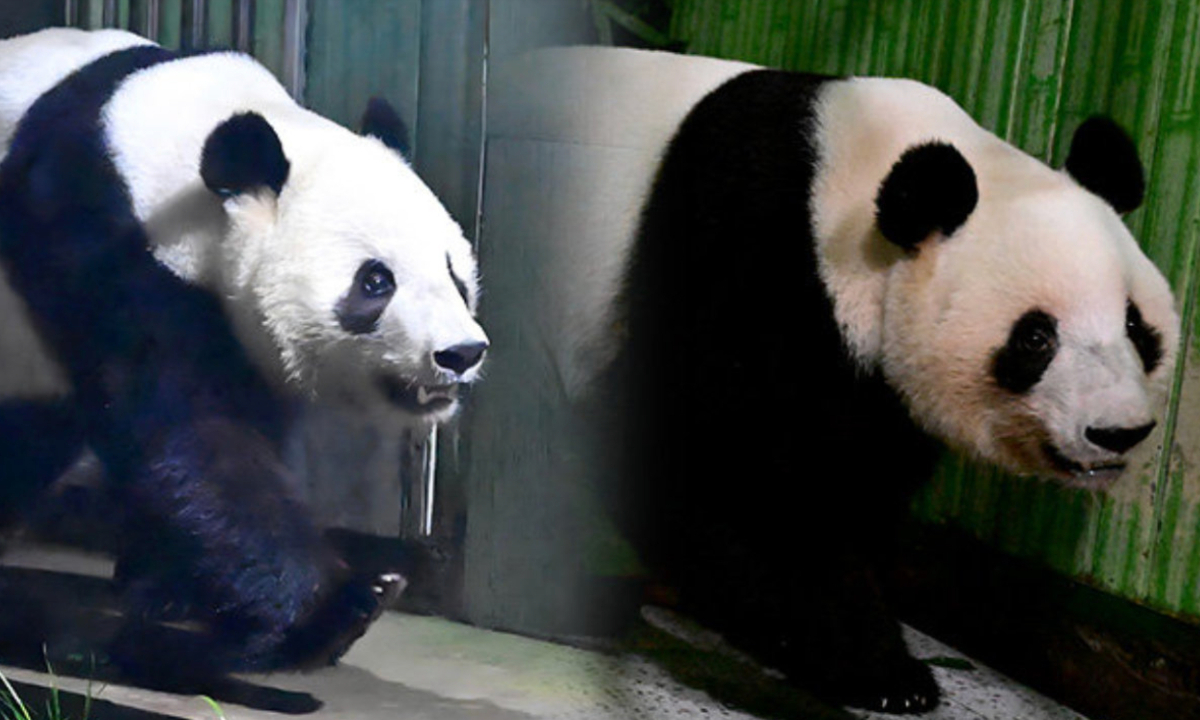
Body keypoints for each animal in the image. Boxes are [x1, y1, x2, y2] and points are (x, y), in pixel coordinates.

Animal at [0, 28, 487, 687]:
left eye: (455, 274)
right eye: (375, 281)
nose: (460, 353)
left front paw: (174, 587)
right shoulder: (92, 239)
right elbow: (196, 436)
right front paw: (337, 609)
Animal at [581, 53, 1181, 713]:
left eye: (1136, 324)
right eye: (1034, 338)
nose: (1118, 432)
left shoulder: (876, 391)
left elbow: (861, 478)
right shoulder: (742, 253)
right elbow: (721, 470)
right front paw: (871, 667)